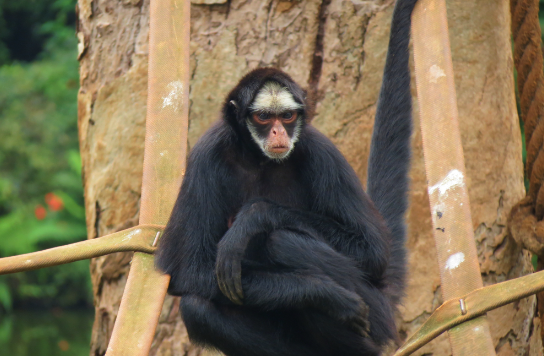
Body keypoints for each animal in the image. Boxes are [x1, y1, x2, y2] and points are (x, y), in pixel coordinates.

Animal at [155, 1, 418, 354]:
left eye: (288, 116)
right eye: (265, 118)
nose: (279, 132)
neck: (261, 161)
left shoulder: (320, 149)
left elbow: (373, 251)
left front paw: (255, 216)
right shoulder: (204, 157)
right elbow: (191, 272)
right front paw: (323, 293)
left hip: (375, 313)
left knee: (283, 239)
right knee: (198, 306)